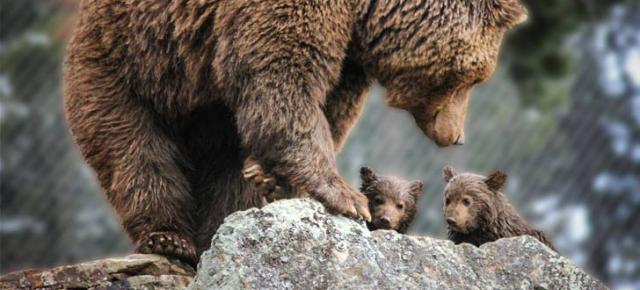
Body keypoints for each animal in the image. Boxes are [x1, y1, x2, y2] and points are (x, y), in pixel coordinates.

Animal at [63, 0, 524, 264]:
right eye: (473, 77)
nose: (455, 136)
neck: (367, 10)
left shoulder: (348, 49)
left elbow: (327, 104)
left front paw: (270, 178)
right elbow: (284, 76)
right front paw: (348, 197)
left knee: (224, 161)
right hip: (128, 59)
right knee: (135, 150)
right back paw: (169, 238)